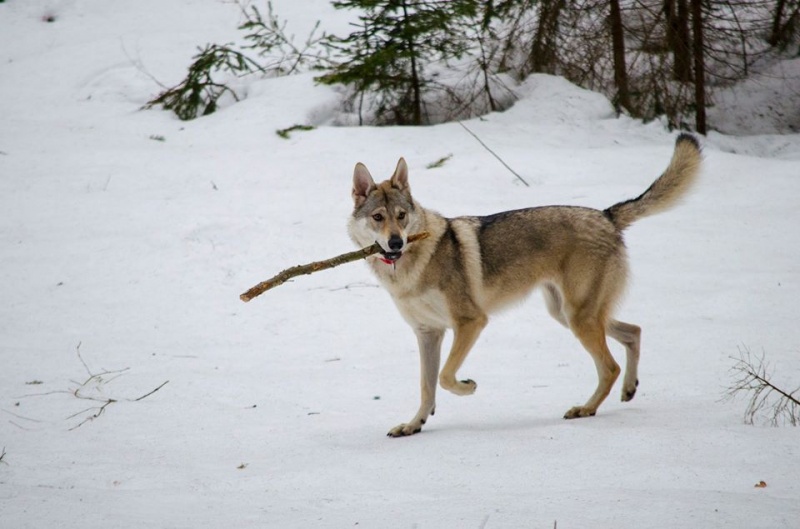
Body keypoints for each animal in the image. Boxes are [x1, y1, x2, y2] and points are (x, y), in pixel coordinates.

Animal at [348, 134, 700, 436]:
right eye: (378, 217)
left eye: (402, 215)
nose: (396, 242)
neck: (410, 268)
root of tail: (605, 215)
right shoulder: (427, 333)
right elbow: (426, 387)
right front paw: (414, 425)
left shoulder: (471, 322)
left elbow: (446, 377)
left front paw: (468, 387)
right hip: (567, 314)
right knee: (634, 332)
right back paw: (628, 389)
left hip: (578, 318)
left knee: (610, 366)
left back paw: (586, 409)